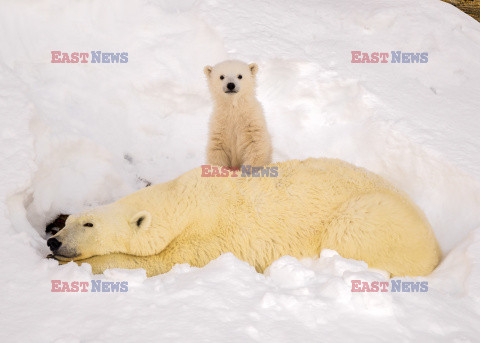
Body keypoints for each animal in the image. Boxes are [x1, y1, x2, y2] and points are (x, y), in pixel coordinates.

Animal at [47, 160, 440, 278]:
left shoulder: (209, 239)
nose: (54, 240)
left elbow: (159, 263)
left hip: (370, 215)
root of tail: (437, 247)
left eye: (89, 225)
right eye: (69, 221)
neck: (182, 203)